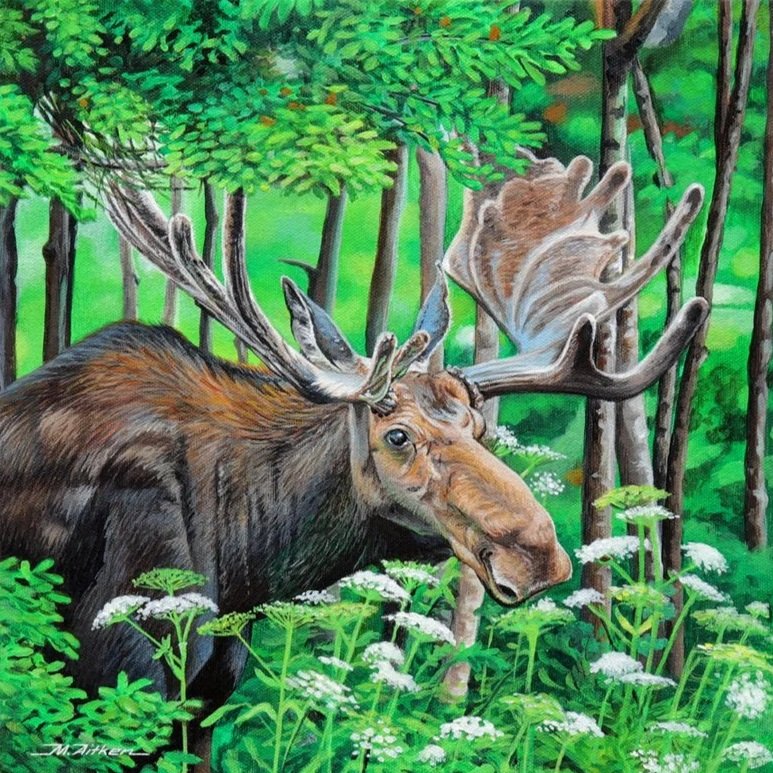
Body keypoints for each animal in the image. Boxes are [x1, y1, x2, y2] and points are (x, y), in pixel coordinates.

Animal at [0, 150, 707, 766]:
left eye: (479, 424)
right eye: (397, 437)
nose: (538, 558)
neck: (250, 553)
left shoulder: (205, 699)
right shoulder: (120, 670)